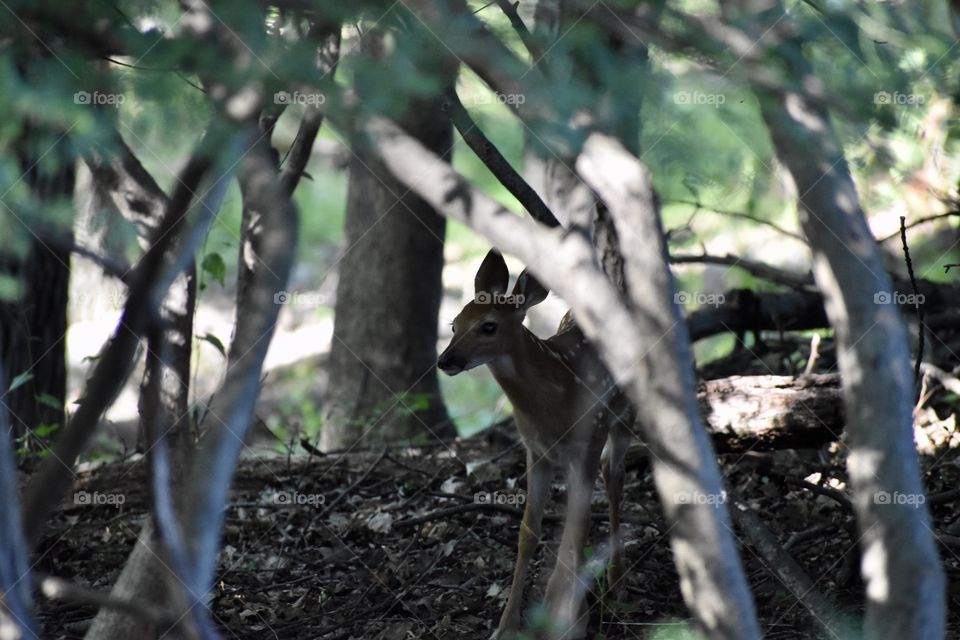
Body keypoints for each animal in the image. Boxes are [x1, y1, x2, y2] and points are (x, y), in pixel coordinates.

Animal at [437, 248, 632, 640]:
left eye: (489, 326)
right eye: (454, 324)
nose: (445, 360)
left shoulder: (586, 443)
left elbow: (575, 527)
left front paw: (569, 622)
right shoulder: (535, 451)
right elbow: (529, 531)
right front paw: (506, 625)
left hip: (624, 416)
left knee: (616, 477)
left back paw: (616, 581)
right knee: (609, 476)